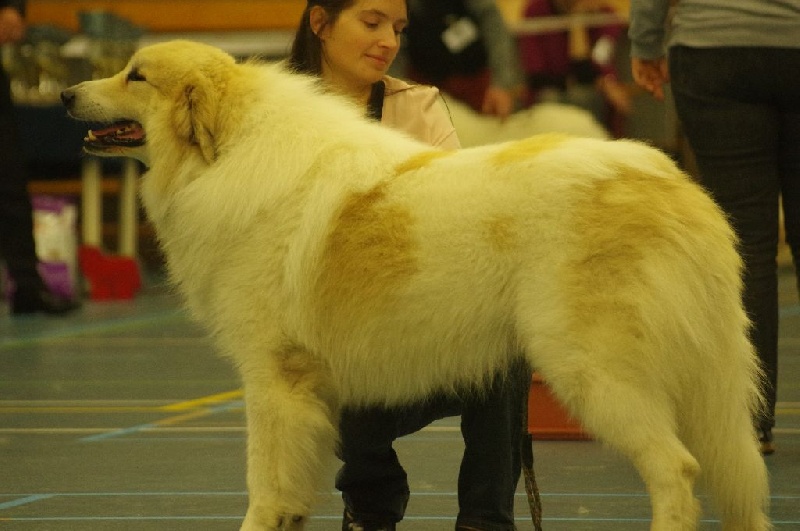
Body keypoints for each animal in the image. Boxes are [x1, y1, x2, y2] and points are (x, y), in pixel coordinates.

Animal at [61, 42, 768, 531]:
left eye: (135, 76)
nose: (65, 94)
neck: (225, 157)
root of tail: (674, 187)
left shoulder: (270, 379)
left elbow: (263, 484)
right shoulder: (308, 394)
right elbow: (294, 491)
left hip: (592, 371)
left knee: (677, 472)